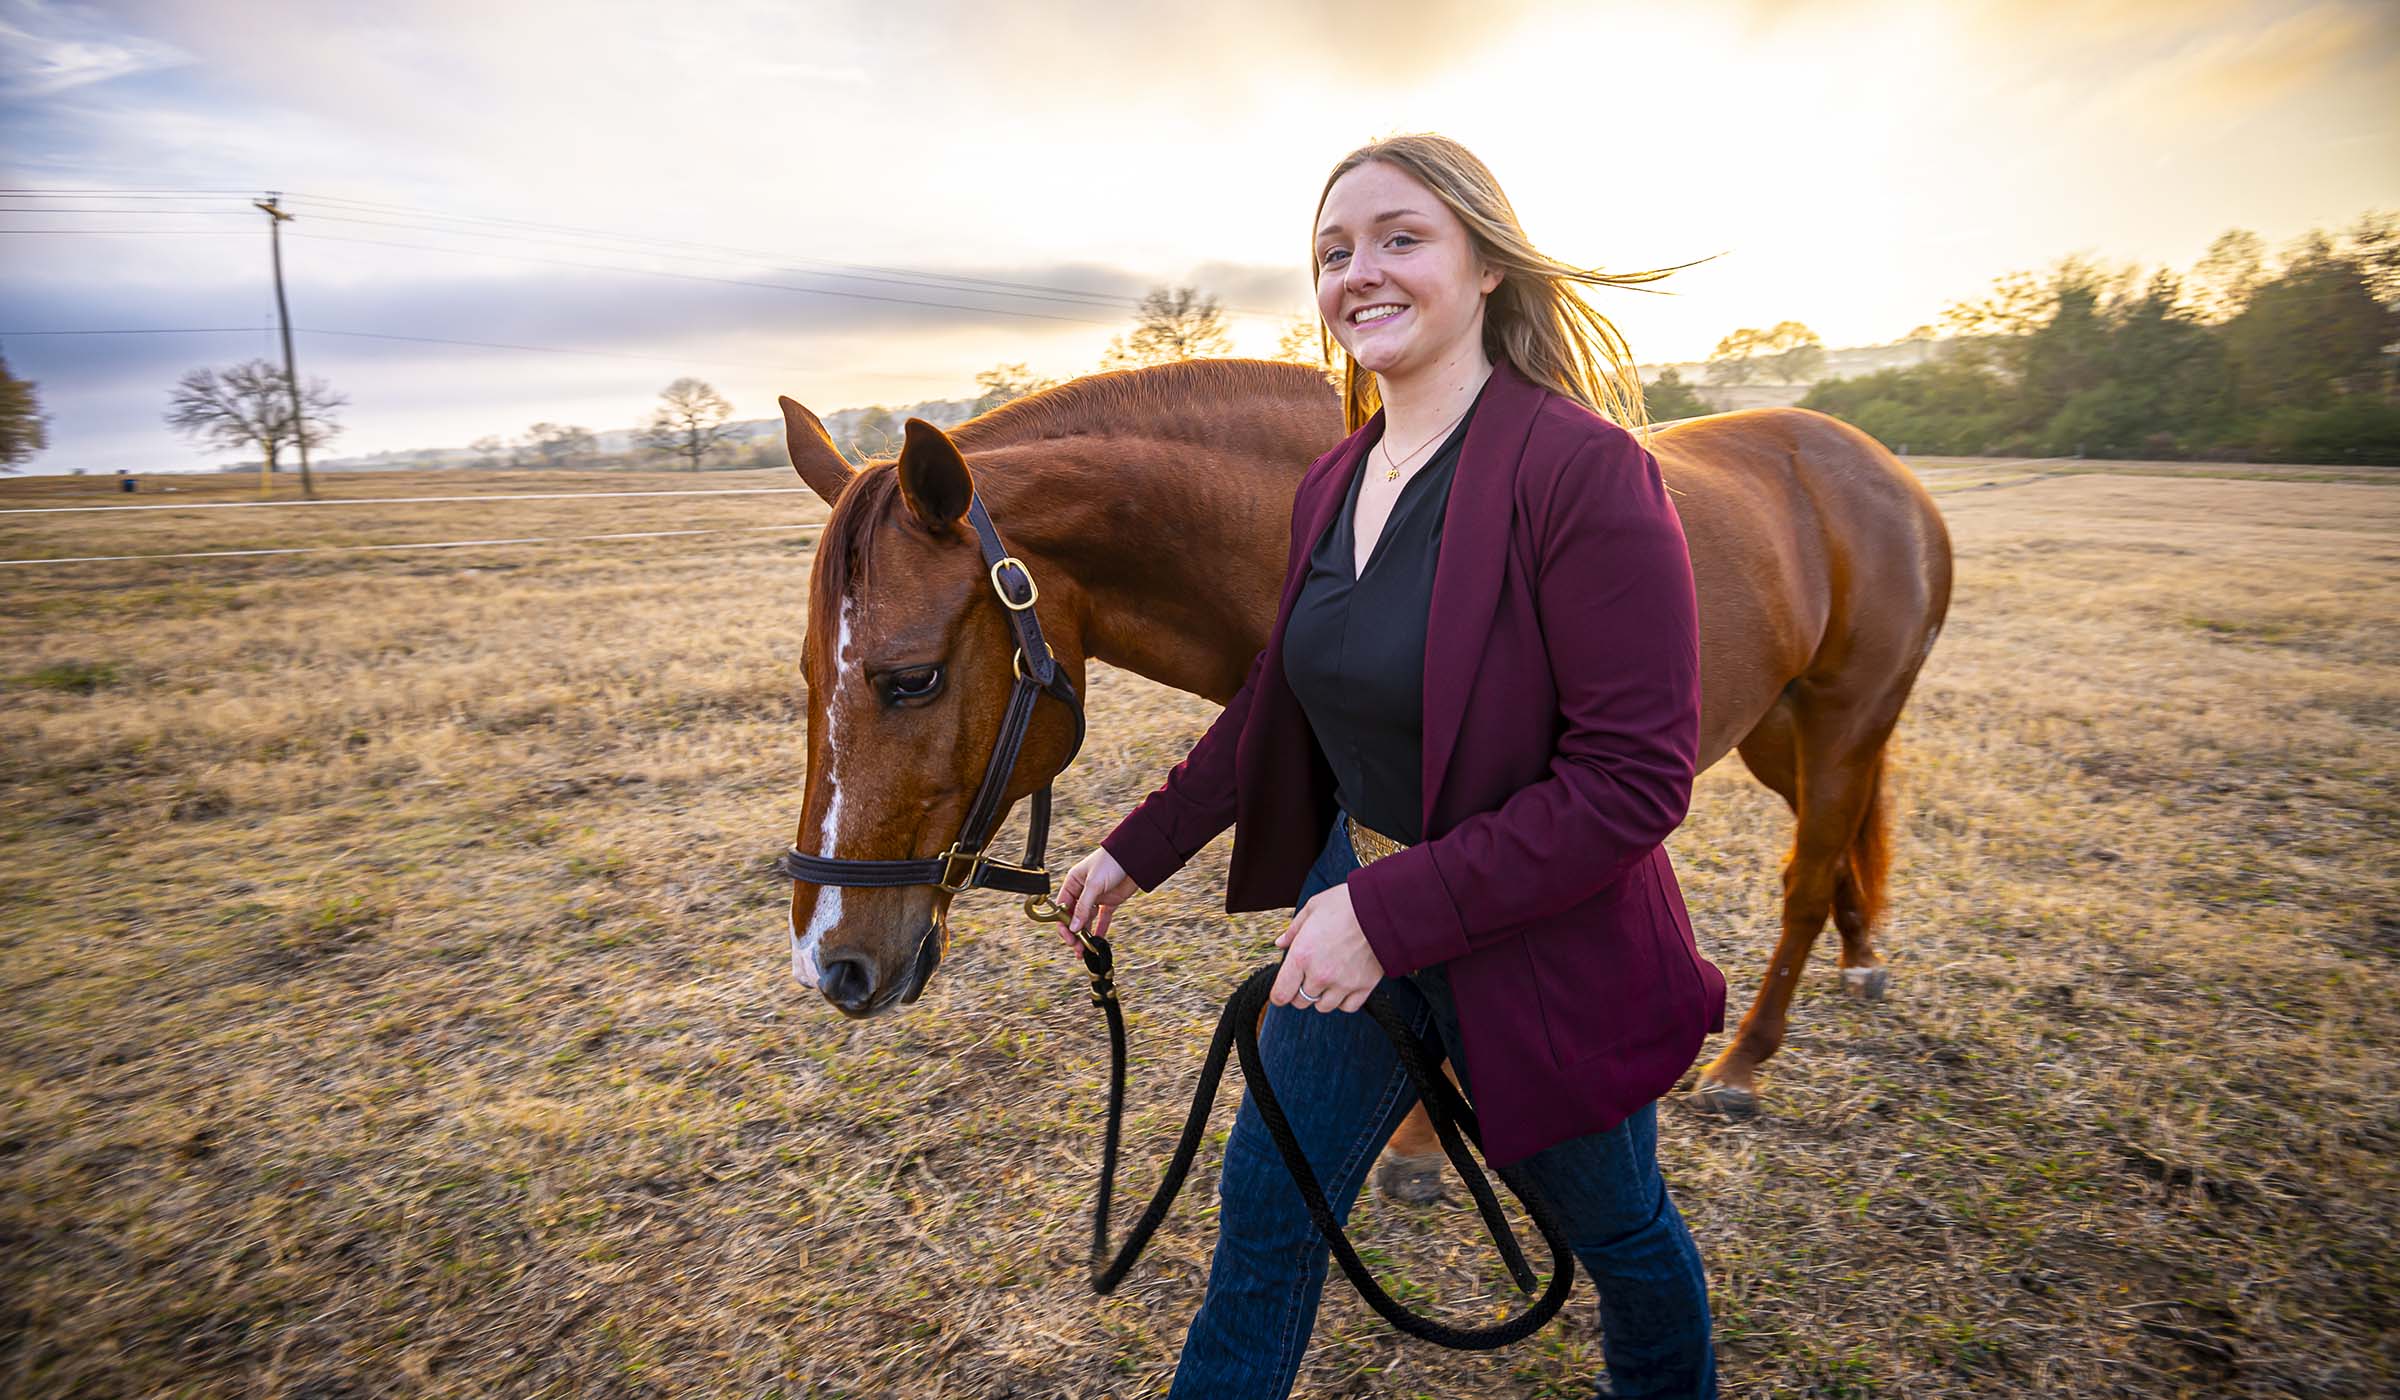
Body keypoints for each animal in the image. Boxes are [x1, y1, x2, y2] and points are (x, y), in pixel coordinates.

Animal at [777, 355, 1958, 1176]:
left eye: (911, 679)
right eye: (804, 674)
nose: (831, 963)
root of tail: (1881, 470)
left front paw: (1430, 1150)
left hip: (1843, 719)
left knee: (1809, 868)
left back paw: (1746, 1059)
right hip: (1778, 730)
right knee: (1842, 837)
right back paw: (1862, 957)